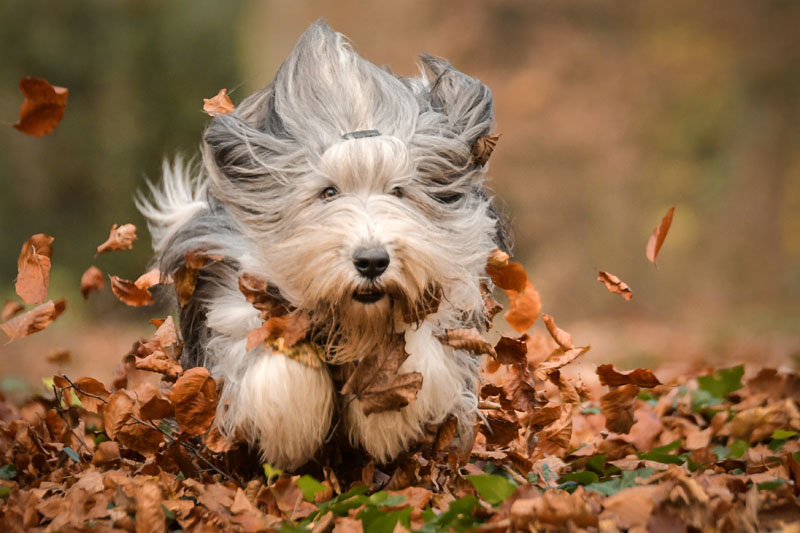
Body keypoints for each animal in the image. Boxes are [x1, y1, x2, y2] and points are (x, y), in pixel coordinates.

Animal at [136, 21, 512, 470]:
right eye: (328, 193)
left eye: (398, 192)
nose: (372, 262)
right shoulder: (234, 296)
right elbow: (269, 351)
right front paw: (291, 429)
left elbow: (418, 344)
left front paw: (389, 417)